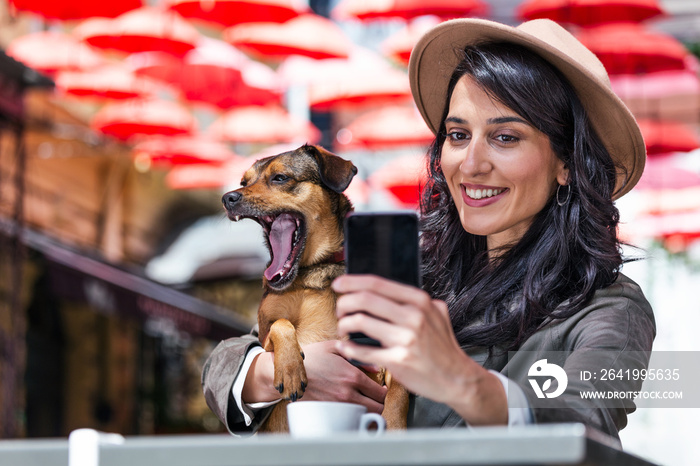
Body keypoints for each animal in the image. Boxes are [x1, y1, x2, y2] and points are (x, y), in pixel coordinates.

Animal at [221, 144, 408, 432]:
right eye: (244, 182)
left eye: (280, 178)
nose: (228, 198)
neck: (316, 270)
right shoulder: (263, 337)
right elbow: (281, 324)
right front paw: (290, 369)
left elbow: (401, 385)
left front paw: (395, 422)